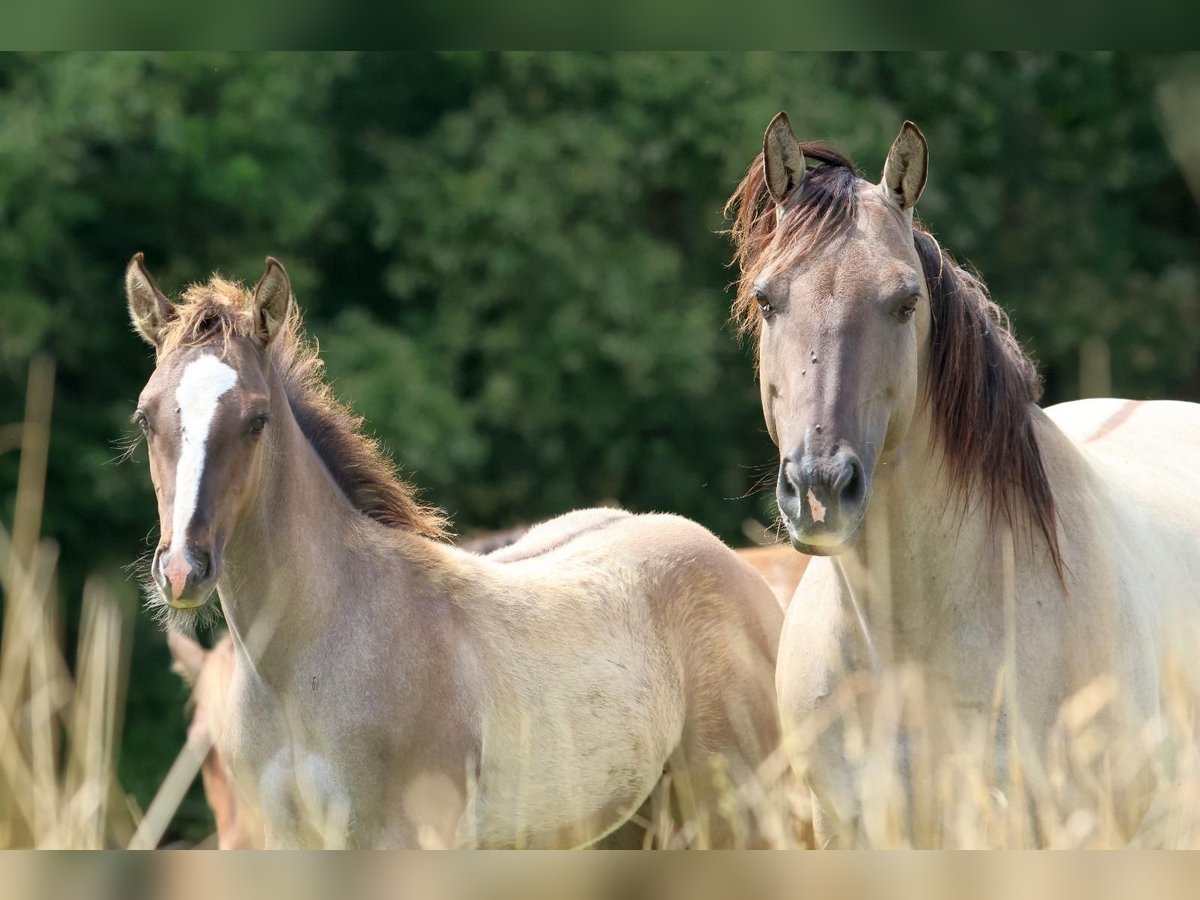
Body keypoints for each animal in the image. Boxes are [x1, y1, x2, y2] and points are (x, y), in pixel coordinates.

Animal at [126, 255, 782, 854]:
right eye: (145, 416)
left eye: (257, 418)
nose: (182, 569)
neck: (302, 663)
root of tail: (752, 583)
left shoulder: (411, 839)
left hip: (737, 817)